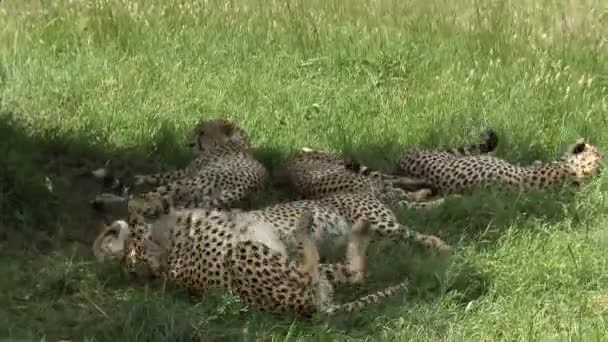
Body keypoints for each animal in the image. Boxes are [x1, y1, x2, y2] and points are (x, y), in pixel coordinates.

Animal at [92, 119, 268, 211]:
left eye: (202, 132)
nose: (190, 144)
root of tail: (244, 192)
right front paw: (138, 178)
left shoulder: (186, 172)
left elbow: (159, 175)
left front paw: (137, 178)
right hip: (190, 199)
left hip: (185, 185)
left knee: (139, 200)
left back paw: (103, 198)